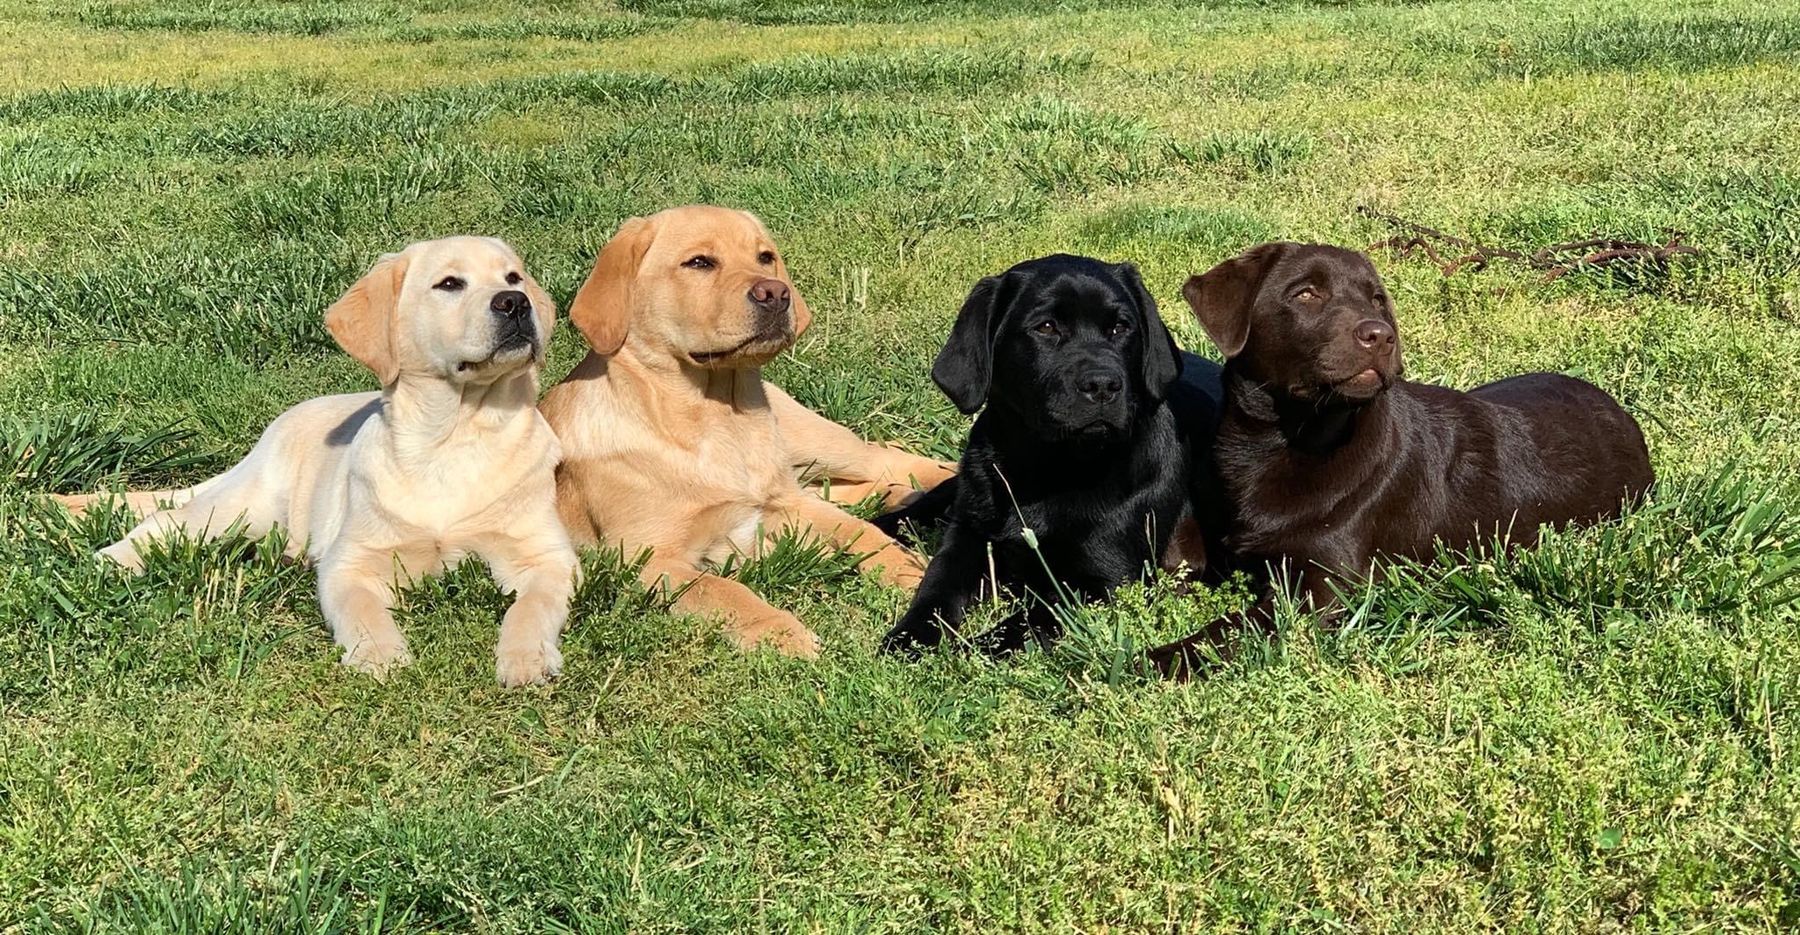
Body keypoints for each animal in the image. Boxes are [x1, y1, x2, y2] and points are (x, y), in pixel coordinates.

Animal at [58, 237, 576, 684]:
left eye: (513, 276)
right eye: (449, 283)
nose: (515, 303)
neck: (456, 436)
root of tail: (269, 434)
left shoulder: (547, 556)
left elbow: (532, 606)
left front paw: (526, 657)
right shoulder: (351, 563)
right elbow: (362, 611)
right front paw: (380, 656)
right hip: (242, 509)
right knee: (164, 523)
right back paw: (110, 562)